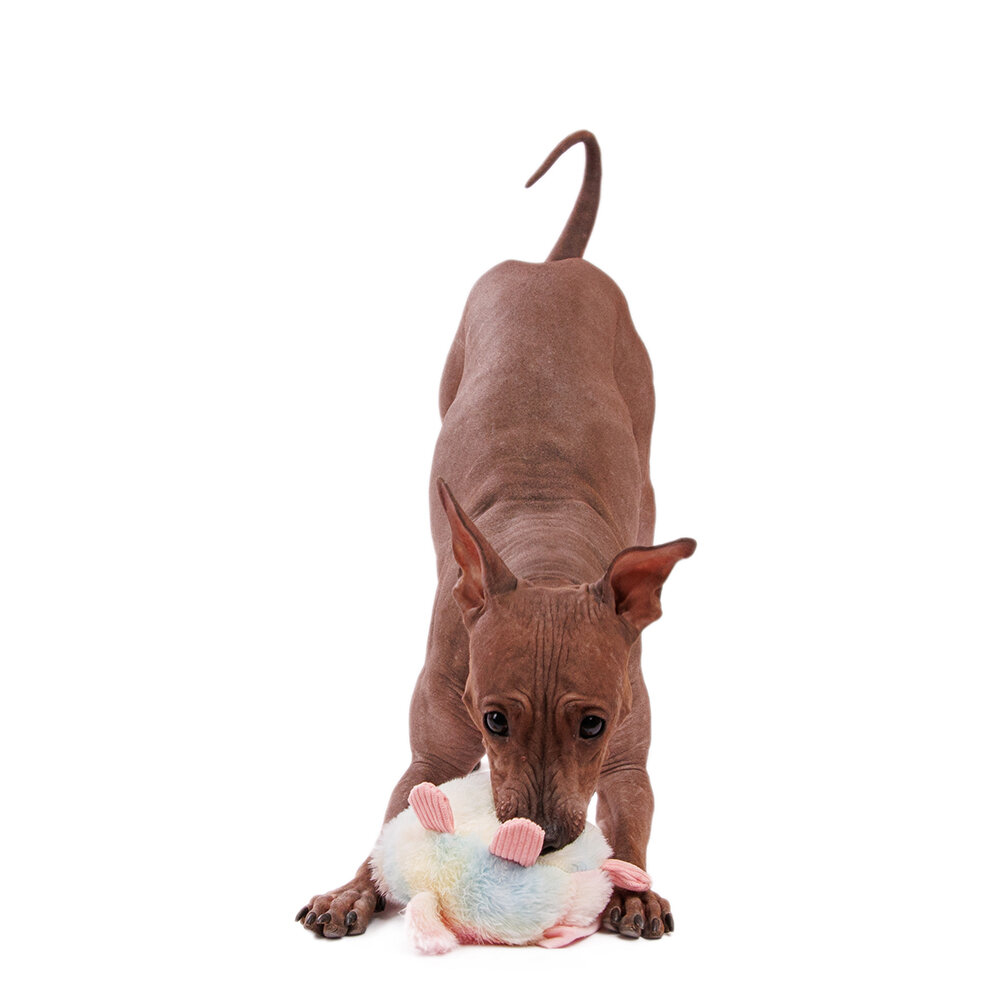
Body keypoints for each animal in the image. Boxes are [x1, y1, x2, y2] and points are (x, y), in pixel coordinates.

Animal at [296, 131, 695, 941]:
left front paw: (635, 888)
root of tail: (551, 267)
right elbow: (390, 822)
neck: (545, 551)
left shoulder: (629, 761)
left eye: (594, 724)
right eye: (494, 719)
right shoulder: (427, 754)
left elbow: (633, 819)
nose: (537, 844)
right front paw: (353, 889)